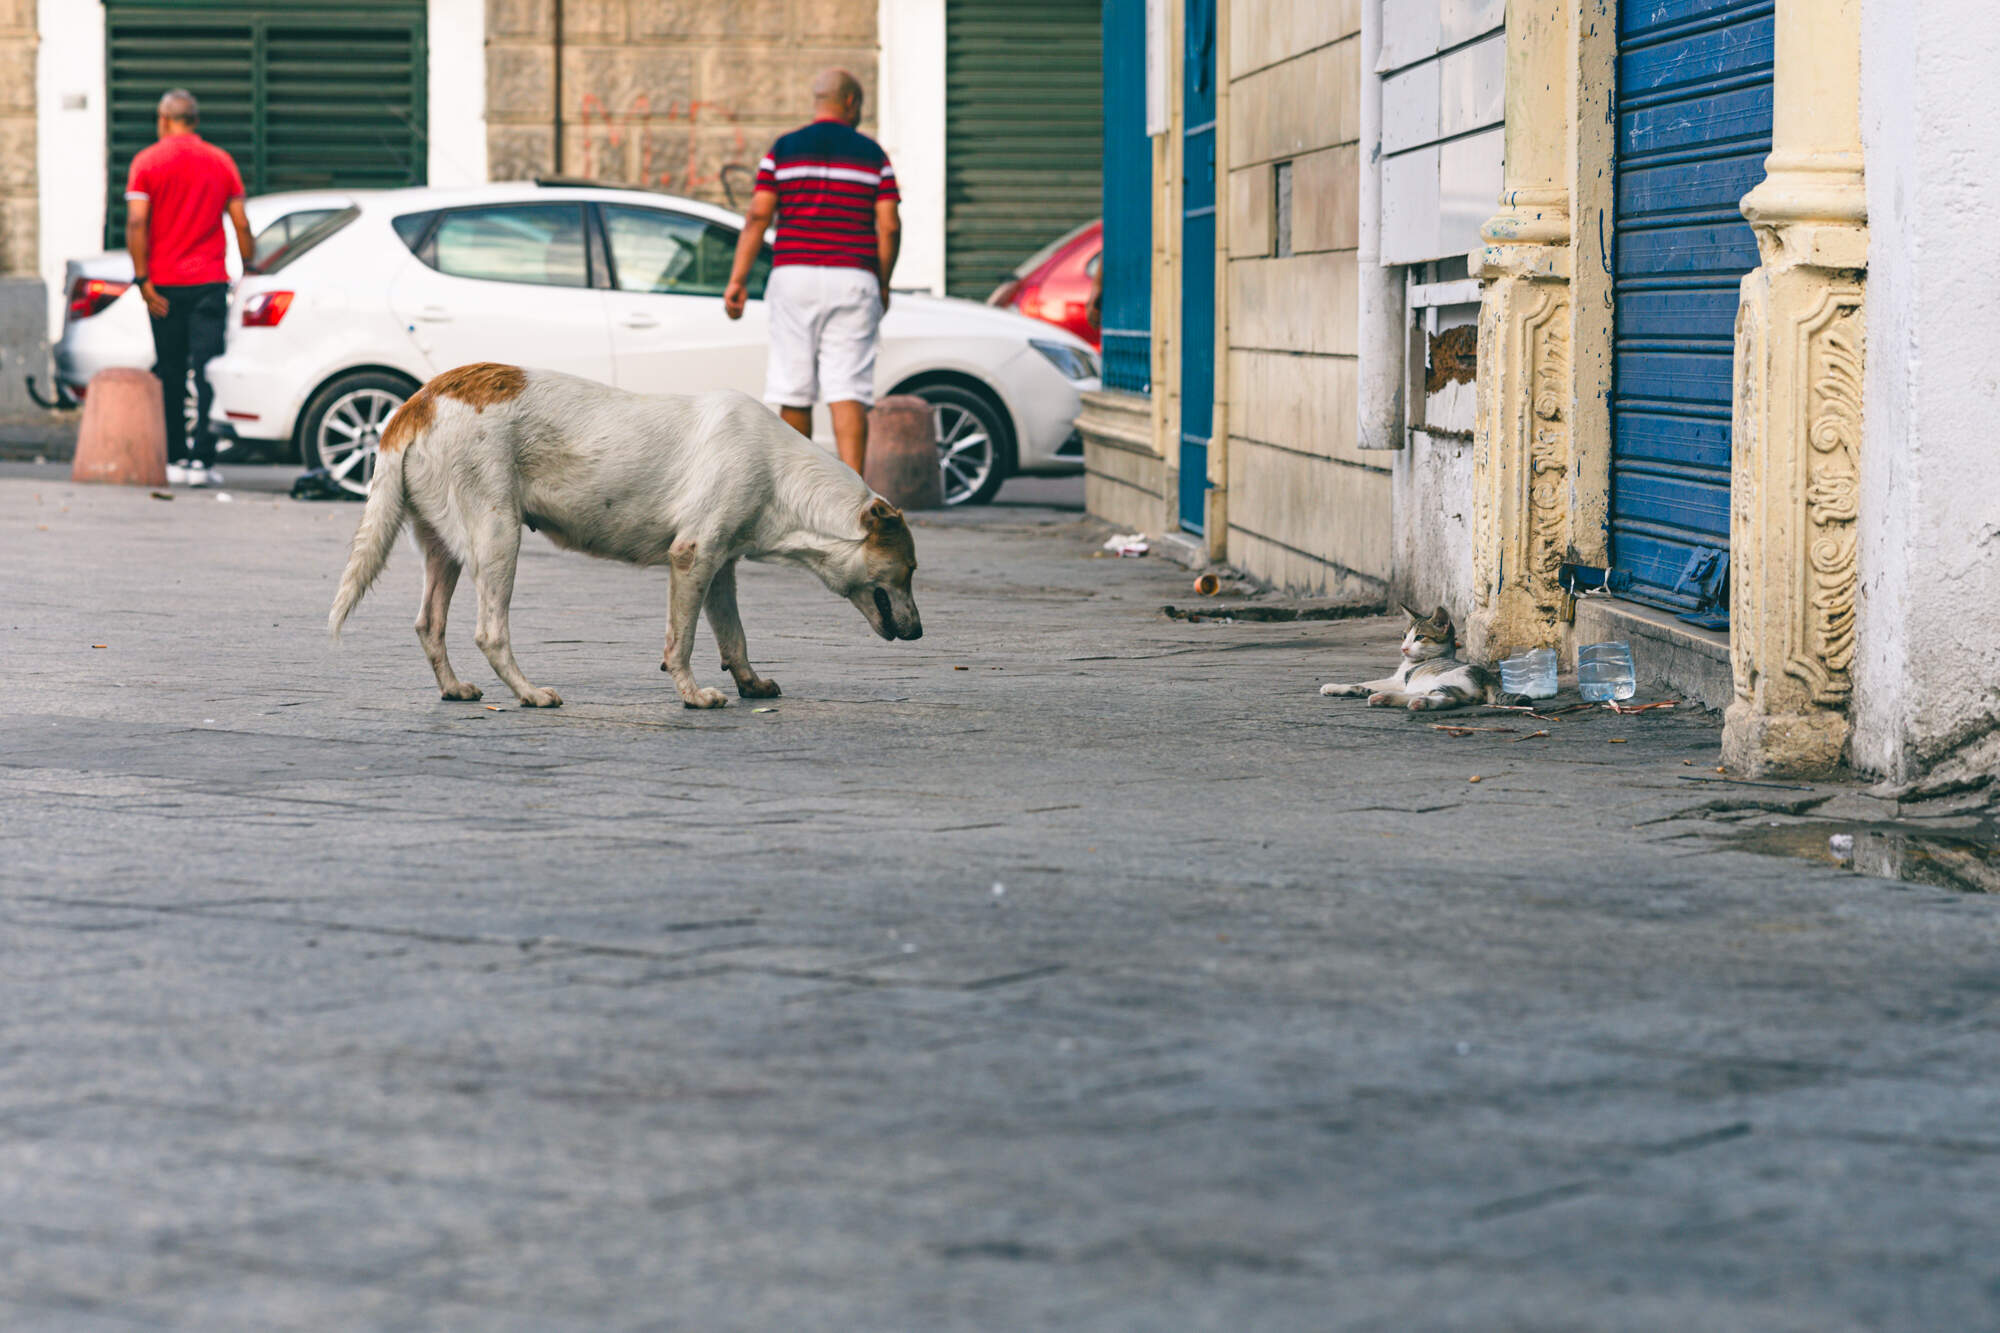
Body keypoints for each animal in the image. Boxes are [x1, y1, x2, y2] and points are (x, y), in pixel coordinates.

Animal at [328, 358, 920, 712]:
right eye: (911, 571)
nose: (918, 634)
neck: (779, 473)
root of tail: (418, 401)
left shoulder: (720, 568)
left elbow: (734, 637)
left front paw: (749, 683)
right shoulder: (692, 558)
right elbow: (681, 642)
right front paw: (692, 694)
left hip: (446, 548)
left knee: (429, 624)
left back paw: (452, 688)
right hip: (497, 538)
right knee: (490, 632)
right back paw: (529, 693)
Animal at [1328, 600, 1512, 704]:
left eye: (1420, 637)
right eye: (1404, 636)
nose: (1403, 648)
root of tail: (1488, 678)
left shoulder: (1398, 682)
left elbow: (1365, 682)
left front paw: (1332, 686)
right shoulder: (1397, 682)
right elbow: (1366, 684)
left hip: (1444, 680)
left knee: (1447, 698)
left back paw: (1416, 703)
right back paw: (1384, 698)